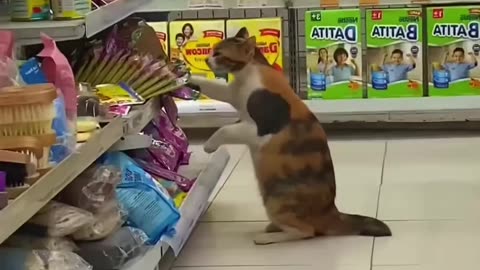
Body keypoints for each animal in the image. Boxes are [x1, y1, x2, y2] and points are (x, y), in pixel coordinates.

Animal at [186, 27, 392, 245]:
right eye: (211, 51)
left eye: (219, 53)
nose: (207, 59)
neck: (249, 73)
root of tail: (331, 211)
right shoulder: (231, 93)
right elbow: (209, 86)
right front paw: (185, 77)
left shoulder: (258, 130)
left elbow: (224, 129)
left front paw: (209, 145)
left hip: (275, 200)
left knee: (306, 231)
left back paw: (265, 236)